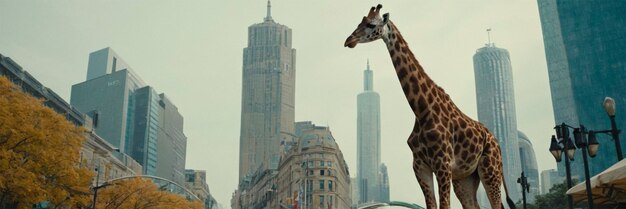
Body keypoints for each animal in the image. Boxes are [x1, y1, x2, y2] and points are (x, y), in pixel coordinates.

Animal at [344, 4, 516, 208]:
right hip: (465, 178)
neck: (421, 109)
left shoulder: (443, 164)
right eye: (359, 22)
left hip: (490, 170)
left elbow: (444, 205)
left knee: (496, 203)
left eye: (371, 24)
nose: (349, 40)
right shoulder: (420, 166)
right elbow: (431, 204)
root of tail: (497, 142)